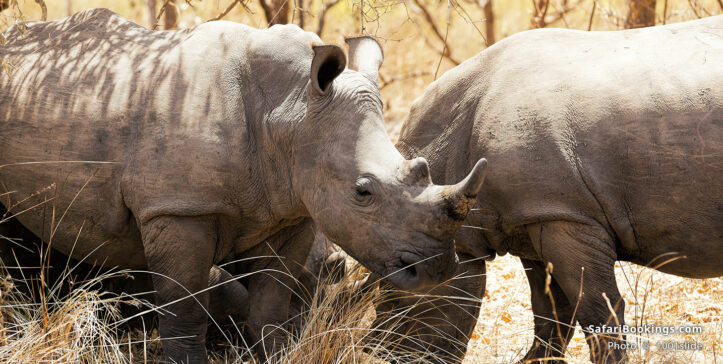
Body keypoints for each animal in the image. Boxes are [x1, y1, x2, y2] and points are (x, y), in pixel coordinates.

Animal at [376, 16, 720, 364]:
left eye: (395, 294)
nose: (375, 351)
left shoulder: (564, 216)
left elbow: (596, 310)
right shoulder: (532, 216)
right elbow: (551, 312)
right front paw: (533, 360)